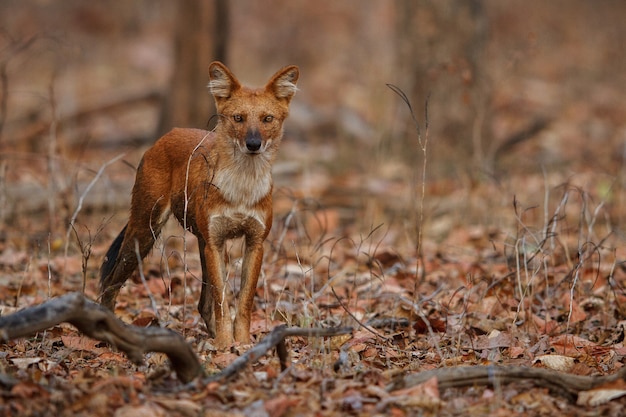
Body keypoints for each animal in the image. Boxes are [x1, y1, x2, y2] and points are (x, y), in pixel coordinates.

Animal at [98, 61, 298, 348]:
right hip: (145, 231)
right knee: (110, 283)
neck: (242, 186)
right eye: (238, 118)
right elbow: (222, 301)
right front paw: (226, 345)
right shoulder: (215, 243)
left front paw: (242, 343)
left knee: (202, 304)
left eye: (267, 119)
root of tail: (165, 136)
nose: (253, 144)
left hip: (199, 241)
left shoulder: (254, 242)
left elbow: (244, 300)